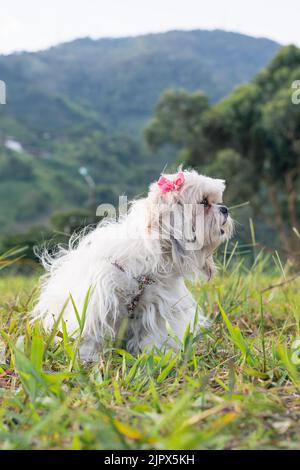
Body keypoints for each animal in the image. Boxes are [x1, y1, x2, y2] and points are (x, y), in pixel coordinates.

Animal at [33, 170, 234, 364]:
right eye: (204, 202)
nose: (225, 209)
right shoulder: (98, 300)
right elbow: (89, 333)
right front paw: (85, 357)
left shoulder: (158, 308)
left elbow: (155, 335)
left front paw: (154, 356)